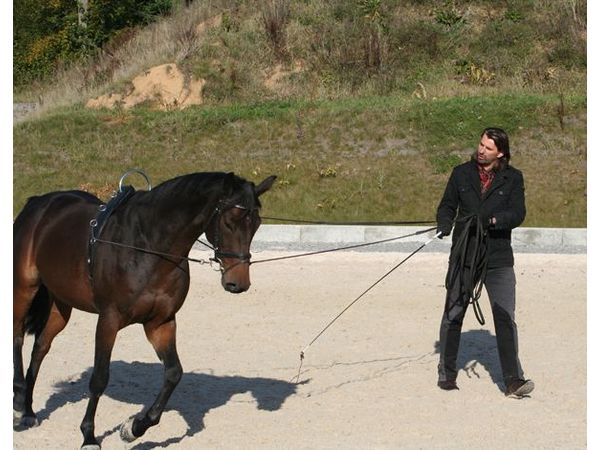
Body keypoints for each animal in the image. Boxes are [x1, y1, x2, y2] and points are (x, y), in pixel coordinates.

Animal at [13, 171, 276, 448]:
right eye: (229, 221)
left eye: (256, 223)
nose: (238, 282)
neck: (149, 248)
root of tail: (38, 203)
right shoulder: (108, 320)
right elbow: (99, 378)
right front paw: (89, 435)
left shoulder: (160, 322)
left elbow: (173, 374)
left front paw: (134, 428)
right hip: (24, 288)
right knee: (18, 337)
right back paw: (19, 402)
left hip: (62, 303)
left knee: (40, 346)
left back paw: (28, 411)